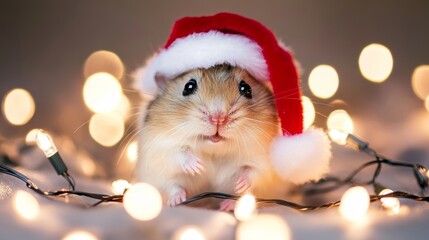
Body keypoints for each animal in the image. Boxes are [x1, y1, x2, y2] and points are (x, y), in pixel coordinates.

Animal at [135, 63, 286, 210]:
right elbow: (178, 154)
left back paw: (227, 205)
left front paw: (241, 184)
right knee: (173, 187)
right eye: (188, 87)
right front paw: (198, 167)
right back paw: (177, 201)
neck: (215, 151)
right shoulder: (159, 147)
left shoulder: (263, 160)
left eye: (246, 88)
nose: (218, 118)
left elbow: (253, 171)